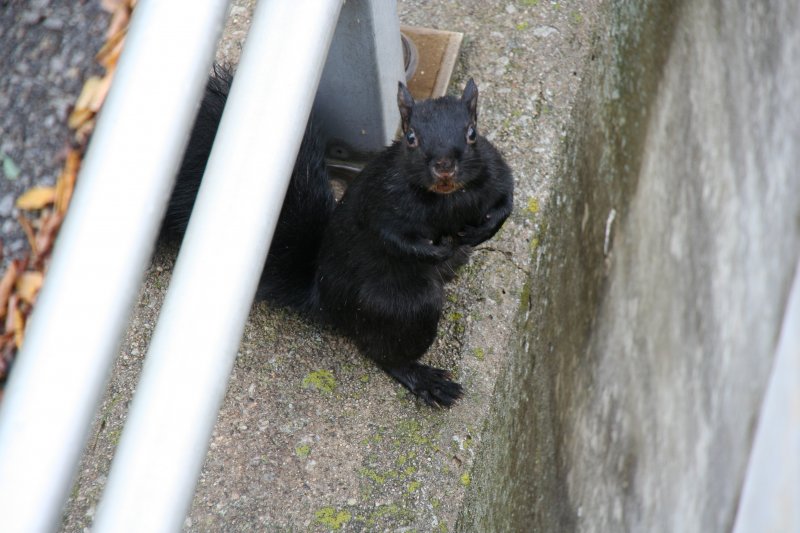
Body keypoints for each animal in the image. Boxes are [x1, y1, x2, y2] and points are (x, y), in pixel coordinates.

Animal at [164, 66, 512, 408]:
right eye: (411, 138)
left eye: (472, 134)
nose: (444, 166)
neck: (446, 197)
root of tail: (324, 298)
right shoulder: (381, 202)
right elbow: (393, 239)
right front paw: (436, 250)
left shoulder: (494, 168)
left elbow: (506, 199)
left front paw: (485, 229)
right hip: (405, 306)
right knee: (384, 352)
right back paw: (425, 378)